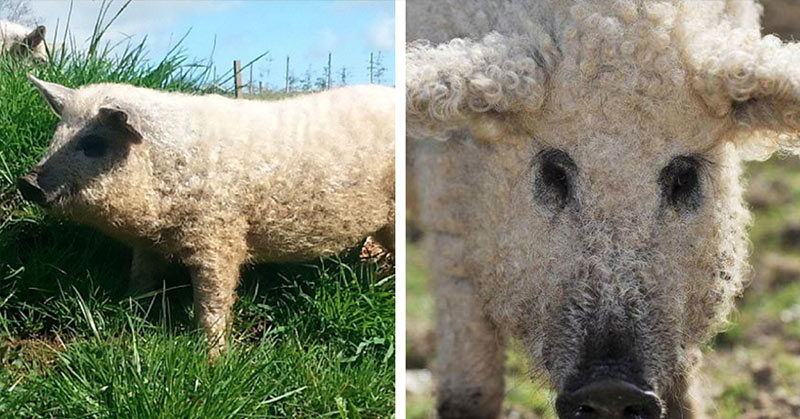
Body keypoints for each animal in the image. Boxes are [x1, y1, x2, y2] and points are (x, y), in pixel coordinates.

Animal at [18, 76, 395, 357]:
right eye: (56, 136)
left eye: (94, 144)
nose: (27, 182)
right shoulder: (149, 244)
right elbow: (141, 275)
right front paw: (131, 309)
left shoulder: (220, 233)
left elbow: (213, 298)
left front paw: (214, 358)